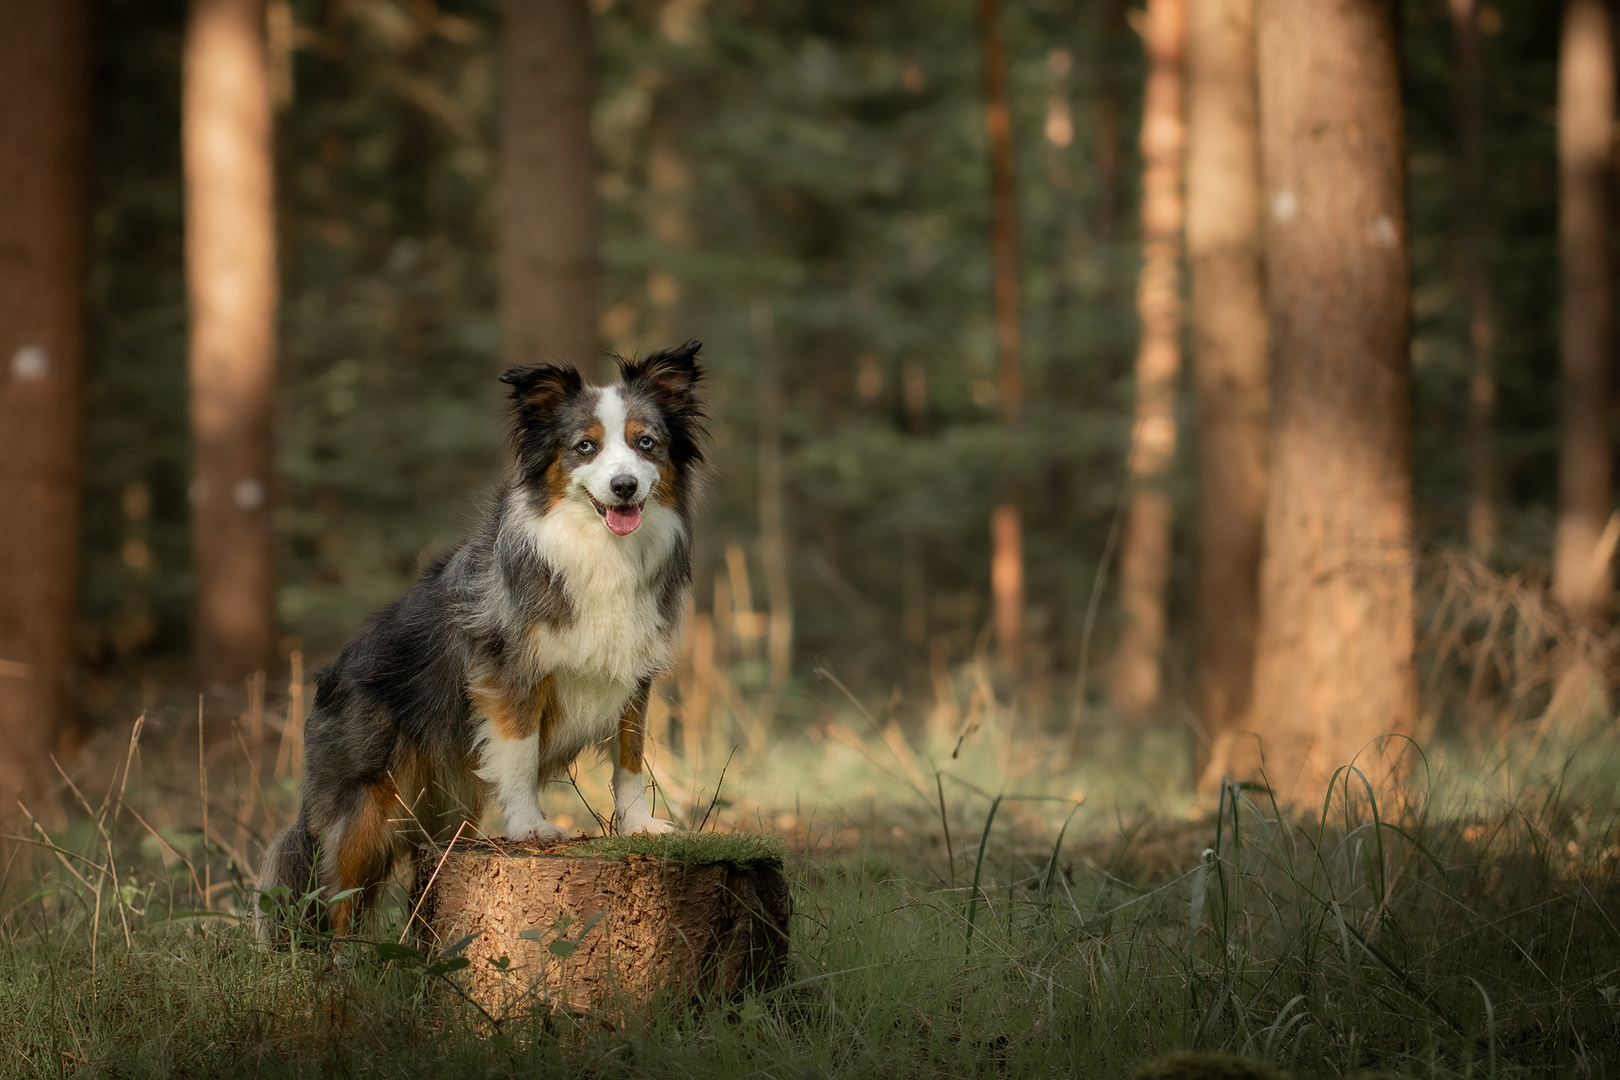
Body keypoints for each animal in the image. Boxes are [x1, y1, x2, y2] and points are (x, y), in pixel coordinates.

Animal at [255, 341, 706, 939]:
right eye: (584, 447)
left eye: (645, 443)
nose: (624, 486)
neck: (599, 549)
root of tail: (330, 678)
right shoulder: (509, 670)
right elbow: (519, 755)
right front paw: (532, 827)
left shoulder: (633, 672)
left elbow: (630, 759)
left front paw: (638, 824)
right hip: (370, 801)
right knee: (336, 891)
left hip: (446, 809)